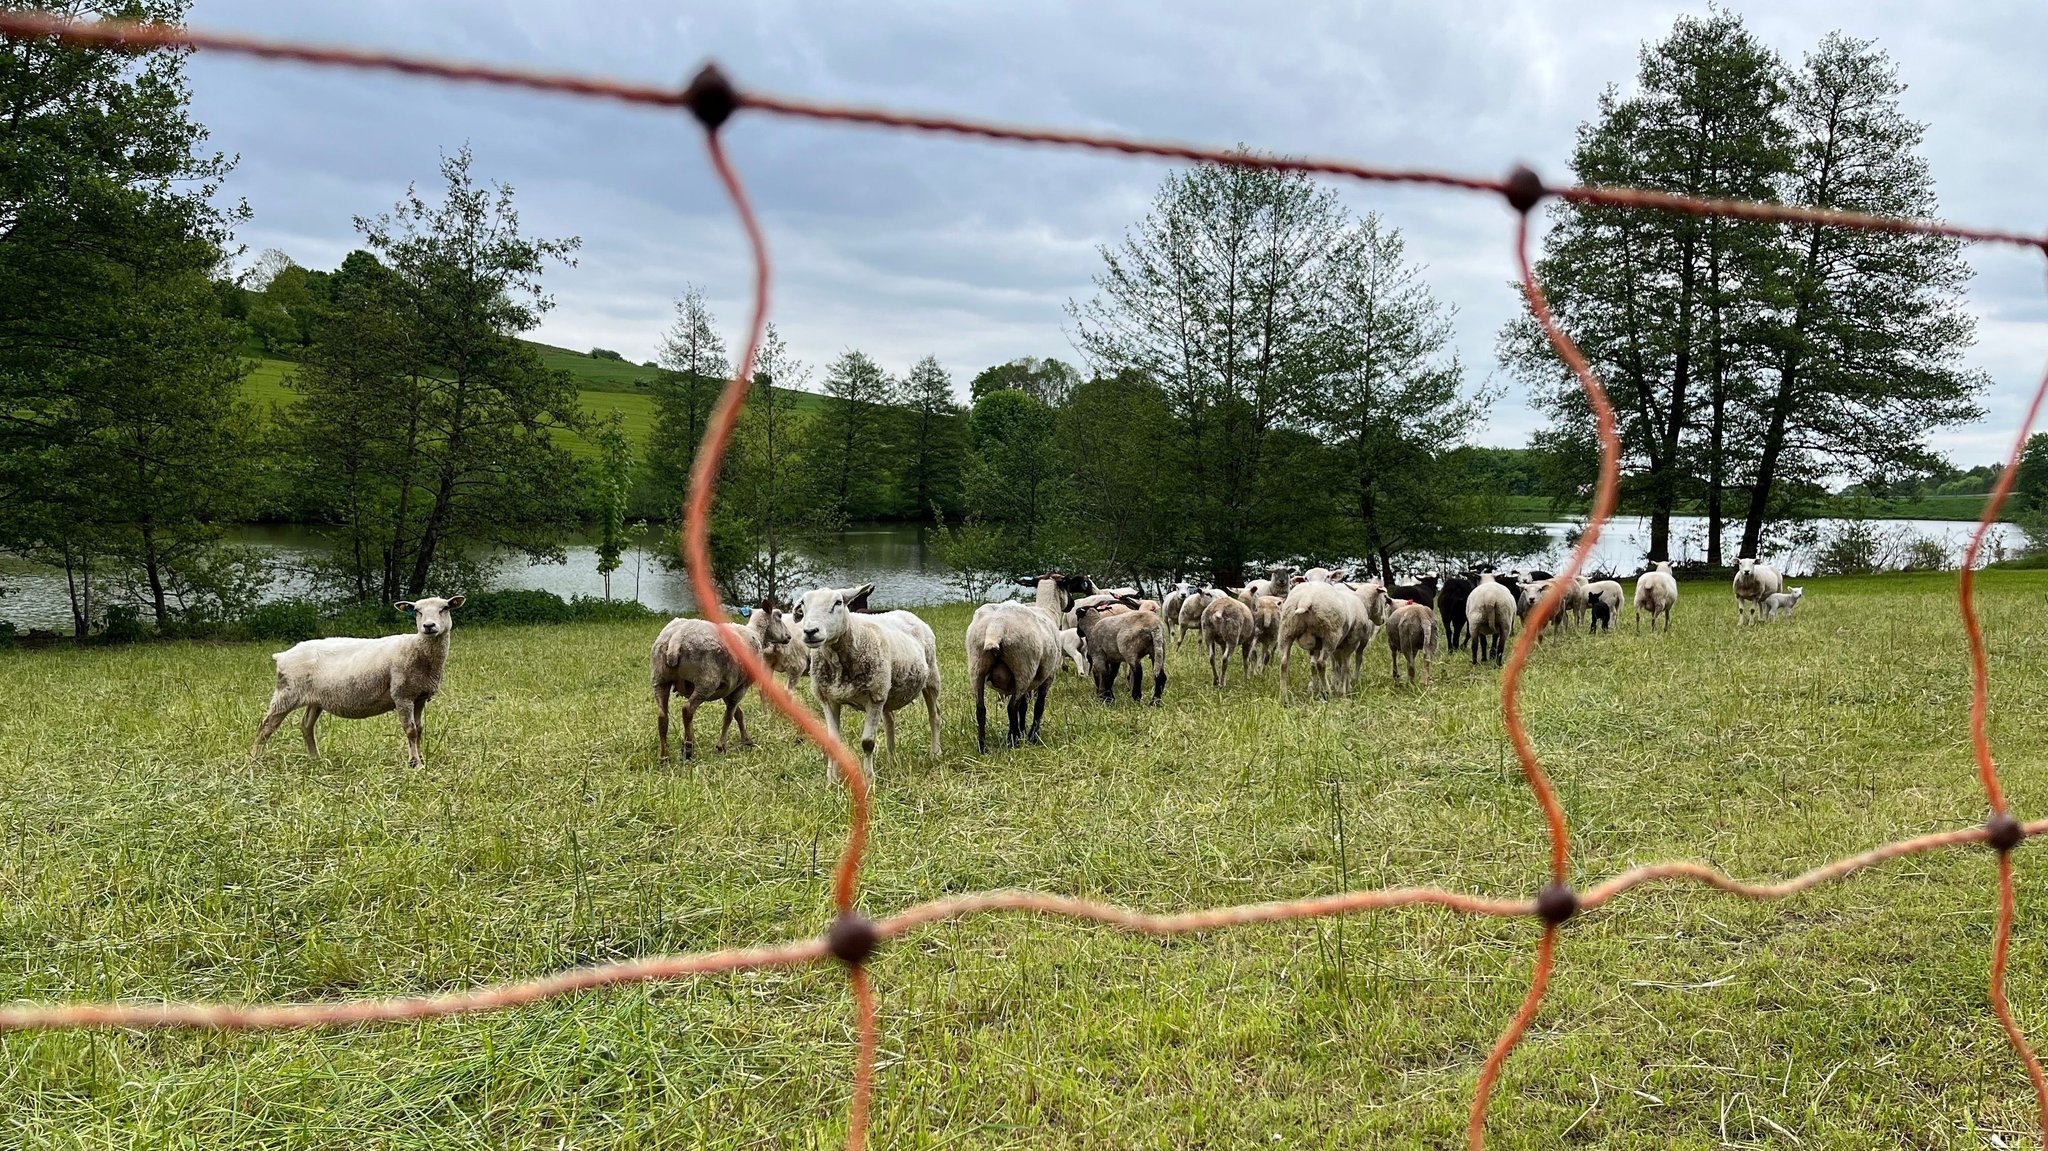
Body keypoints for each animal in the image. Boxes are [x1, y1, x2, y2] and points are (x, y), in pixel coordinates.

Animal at [253, 589, 466, 761]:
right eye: (417, 611)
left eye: (445, 608)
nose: (428, 626)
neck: (417, 649)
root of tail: (282, 655)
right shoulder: (402, 695)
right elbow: (411, 731)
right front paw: (415, 764)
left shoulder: (420, 696)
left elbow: (420, 730)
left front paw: (420, 759)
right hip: (286, 693)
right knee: (265, 726)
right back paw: (254, 760)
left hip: (315, 699)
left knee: (306, 726)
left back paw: (315, 759)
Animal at [655, 610, 782, 761]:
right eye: (779, 616)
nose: (788, 637)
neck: (756, 634)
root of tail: (676, 638)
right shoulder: (741, 687)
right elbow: (728, 716)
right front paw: (721, 746)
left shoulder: (728, 689)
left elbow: (738, 714)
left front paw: (746, 740)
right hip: (706, 682)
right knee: (687, 710)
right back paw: (688, 749)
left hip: (660, 679)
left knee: (662, 716)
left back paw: (664, 756)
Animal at [790, 581, 942, 778]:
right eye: (803, 605)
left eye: (838, 602)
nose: (810, 631)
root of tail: (906, 613)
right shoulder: (828, 699)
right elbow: (832, 742)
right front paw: (831, 779)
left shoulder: (873, 698)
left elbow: (868, 742)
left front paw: (869, 777)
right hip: (886, 690)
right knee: (890, 721)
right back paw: (891, 759)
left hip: (930, 677)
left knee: (934, 716)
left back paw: (935, 753)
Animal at [962, 593, 1056, 749]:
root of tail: (996, 626)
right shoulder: (1049, 676)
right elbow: (1038, 707)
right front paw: (1032, 736)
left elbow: (1023, 706)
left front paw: (1023, 731)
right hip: (1023, 669)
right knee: (1011, 707)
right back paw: (1013, 741)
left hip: (977, 666)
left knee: (981, 709)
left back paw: (983, 747)